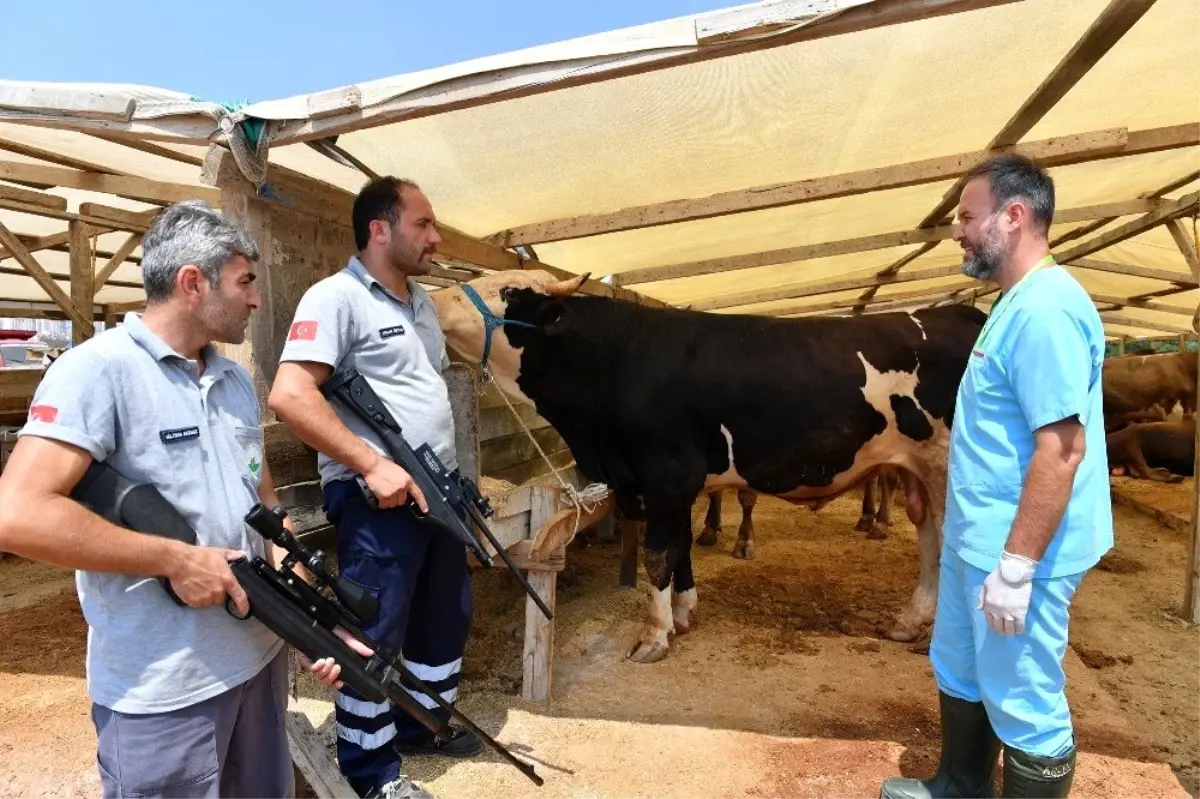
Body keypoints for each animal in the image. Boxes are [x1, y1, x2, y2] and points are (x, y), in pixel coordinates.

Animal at [432, 271, 984, 662]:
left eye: (506, 290)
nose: (432, 300)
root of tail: (961, 313)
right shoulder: (662, 482)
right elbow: (680, 547)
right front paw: (683, 613)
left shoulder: (666, 473)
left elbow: (659, 554)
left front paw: (654, 636)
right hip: (916, 469)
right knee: (929, 541)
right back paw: (908, 622)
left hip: (944, 465)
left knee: (946, 542)